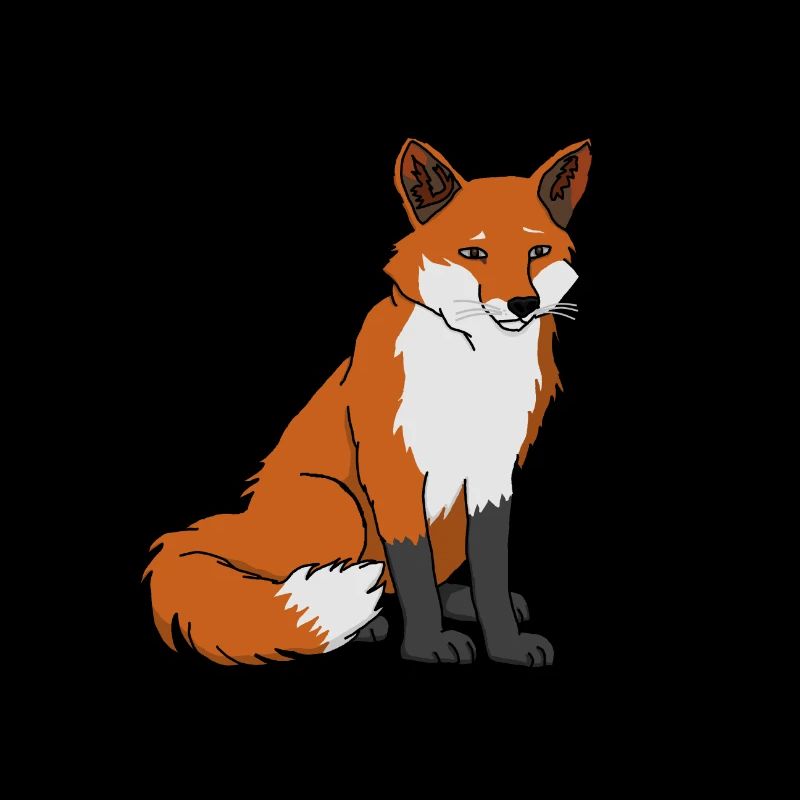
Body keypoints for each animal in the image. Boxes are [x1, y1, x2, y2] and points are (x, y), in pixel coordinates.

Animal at [145, 138, 591, 667]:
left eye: (537, 252)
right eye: (474, 253)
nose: (522, 304)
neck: (473, 372)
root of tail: (246, 525)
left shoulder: (493, 476)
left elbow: (491, 575)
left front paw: (505, 644)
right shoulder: (393, 471)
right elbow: (414, 572)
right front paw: (425, 646)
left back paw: (451, 601)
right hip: (339, 504)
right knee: (316, 581)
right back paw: (367, 624)